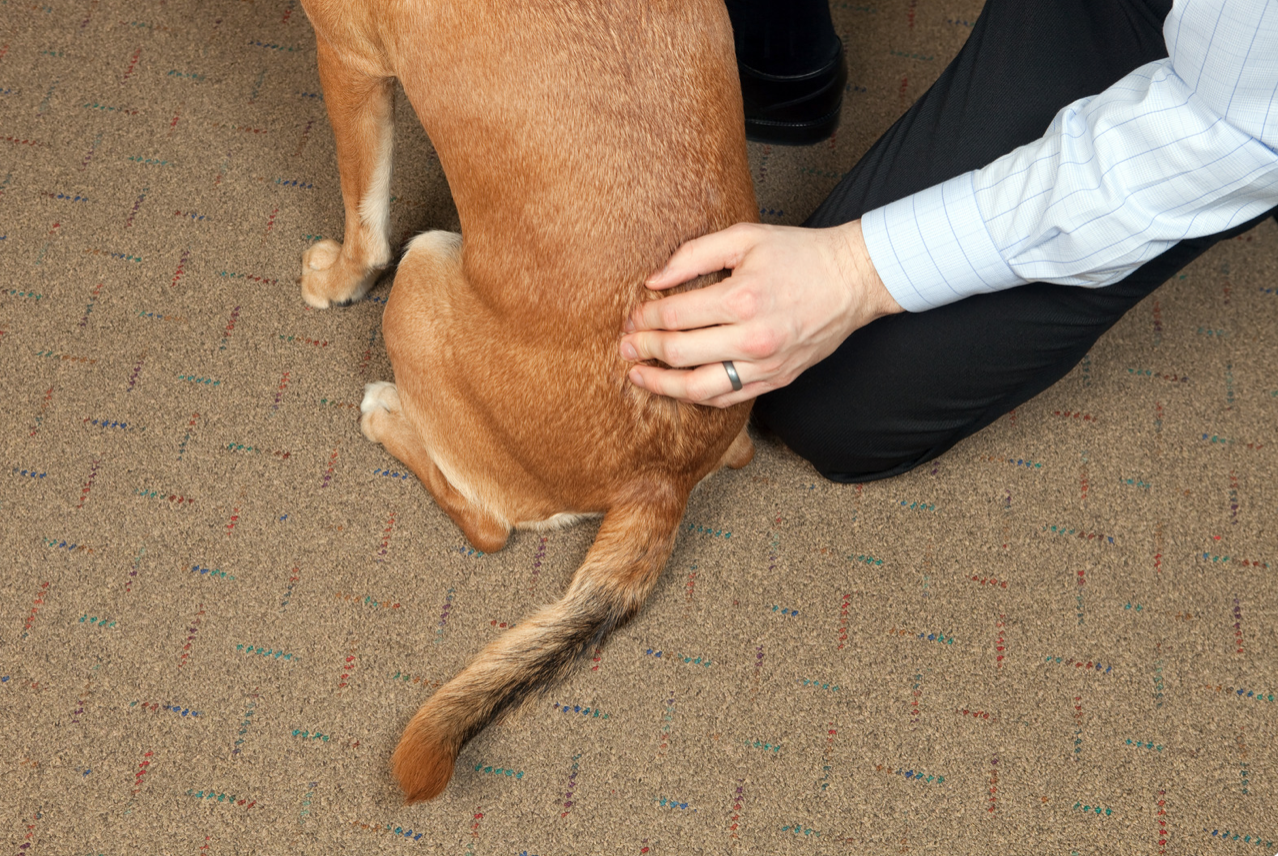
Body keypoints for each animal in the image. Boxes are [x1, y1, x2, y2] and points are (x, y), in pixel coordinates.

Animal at [296, 0, 756, 807]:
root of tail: (661, 478)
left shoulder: (348, 57)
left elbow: (363, 221)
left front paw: (336, 279)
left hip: (419, 282)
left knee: (485, 525)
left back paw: (386, 412)